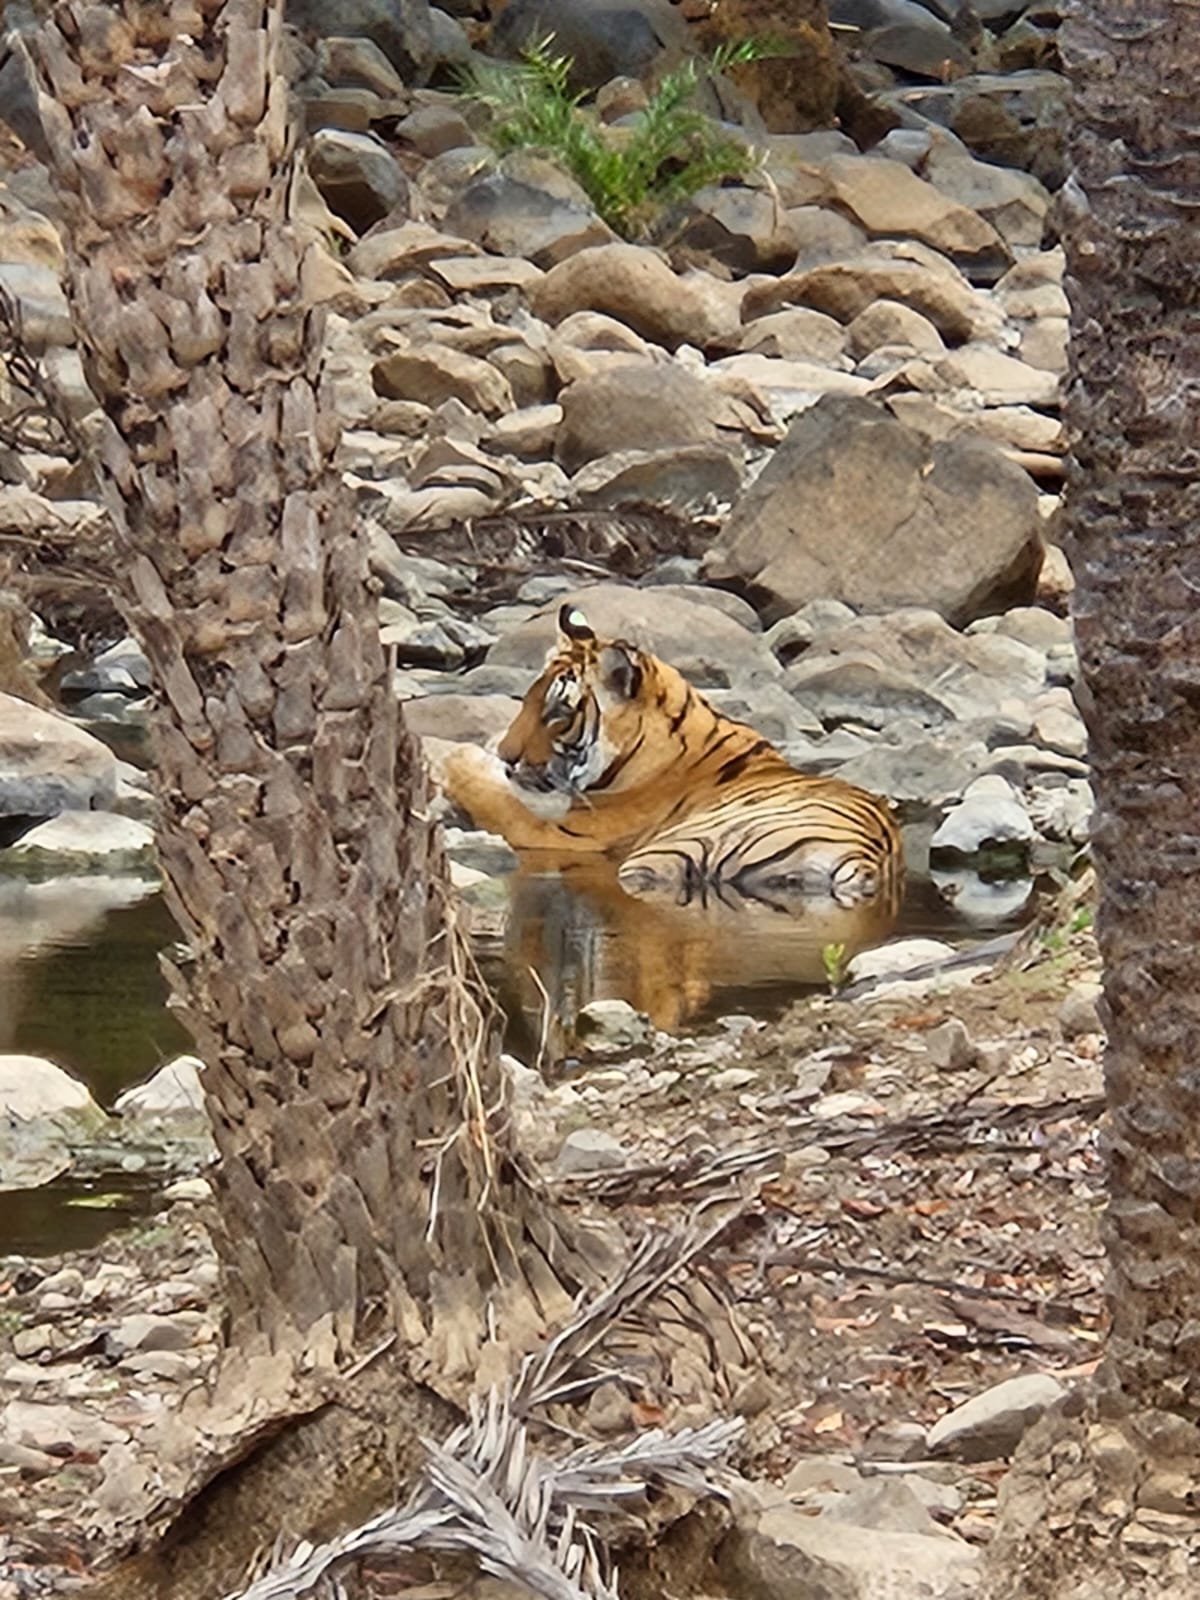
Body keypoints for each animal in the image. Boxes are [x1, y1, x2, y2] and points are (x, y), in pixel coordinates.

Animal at [436, 604, 903, 909]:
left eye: (559, 713)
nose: (507, 756)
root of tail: (865, 856)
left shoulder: (564, 833)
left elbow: (489, 791)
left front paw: (458, 760)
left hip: (664, 854)